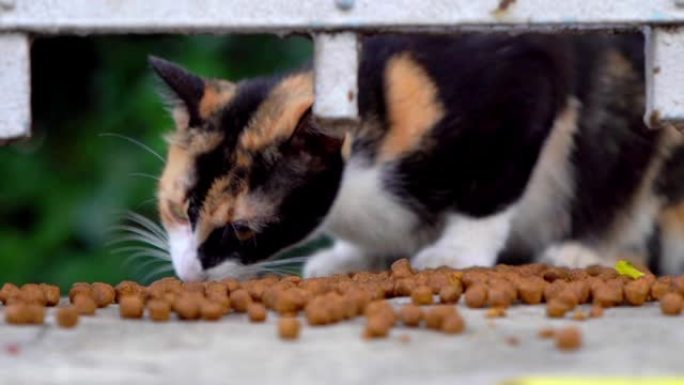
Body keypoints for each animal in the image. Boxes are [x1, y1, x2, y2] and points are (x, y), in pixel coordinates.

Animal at [152, 31, 684, 280]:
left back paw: (584, 251)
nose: (191, 272)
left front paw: (457, 252)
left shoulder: (523, 81)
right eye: (176, 209)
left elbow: (491, 185)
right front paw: (350, 256)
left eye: (242, 229)